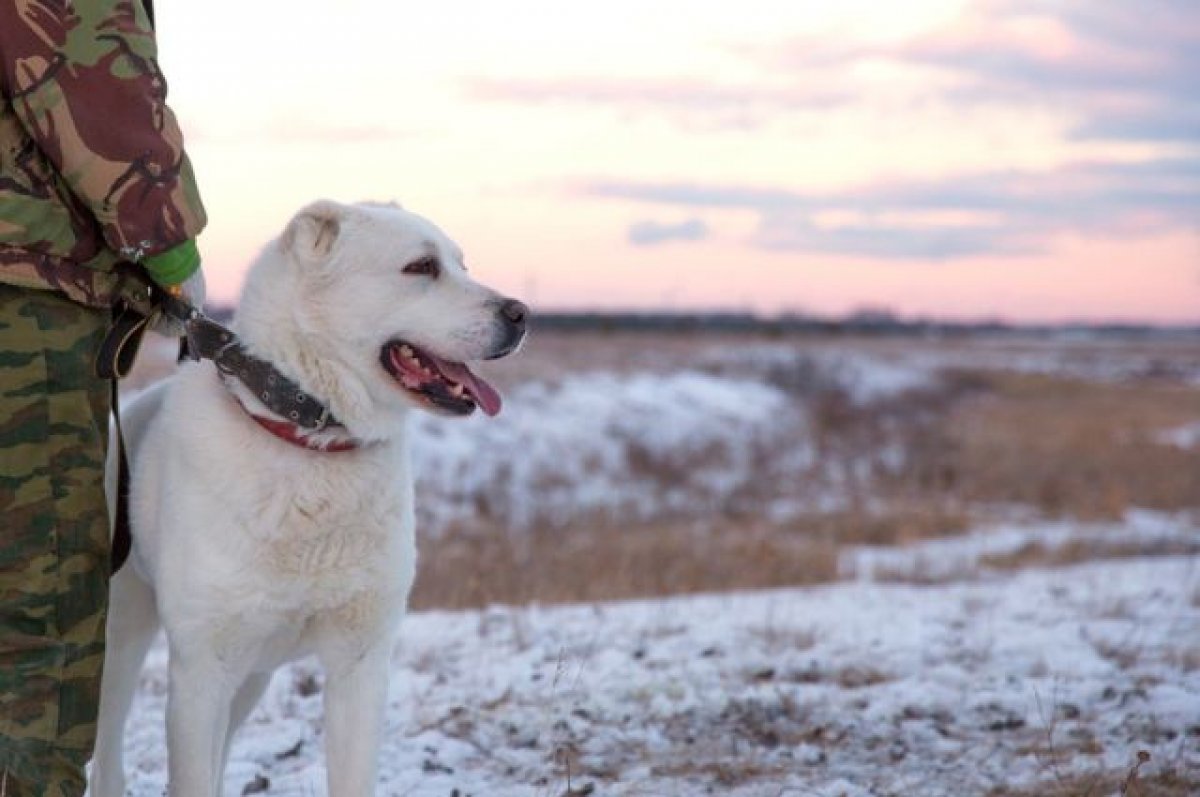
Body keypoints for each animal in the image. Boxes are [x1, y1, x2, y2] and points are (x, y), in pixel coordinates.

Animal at [88, 199, 530, 797]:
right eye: (421, 267)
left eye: (462, 264)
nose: (521, 313)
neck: (312, 439)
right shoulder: (202, 669)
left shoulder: (360, 662)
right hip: (120, 641)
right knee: (107, 761)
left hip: (252, 675)